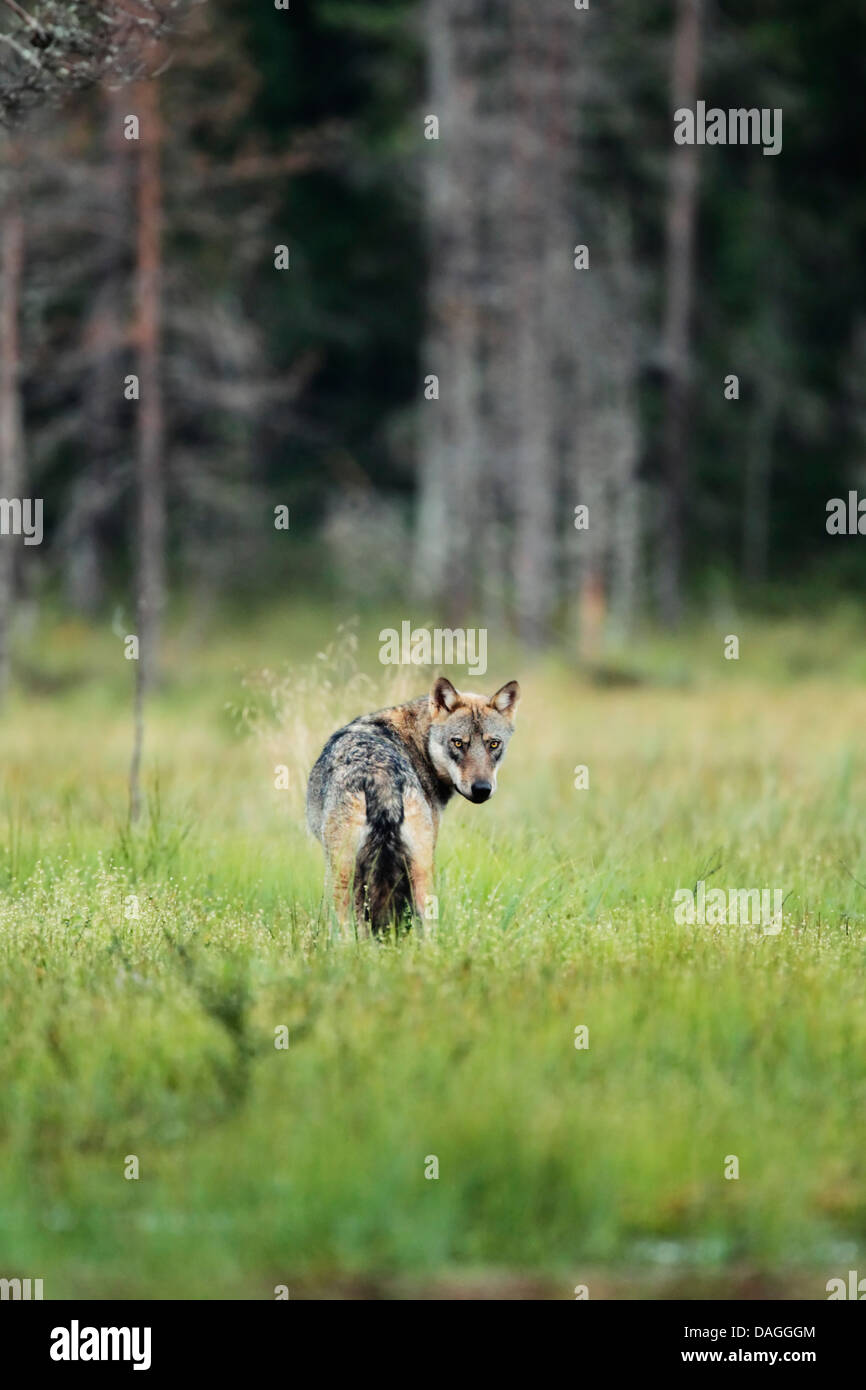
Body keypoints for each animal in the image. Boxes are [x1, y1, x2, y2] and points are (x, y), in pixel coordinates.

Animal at [306, 675, 520, 935]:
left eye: (494, 744)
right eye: (458, 743)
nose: (481, 789)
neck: (417, 743)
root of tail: (380, 778)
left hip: (341, 878)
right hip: (418, 872)